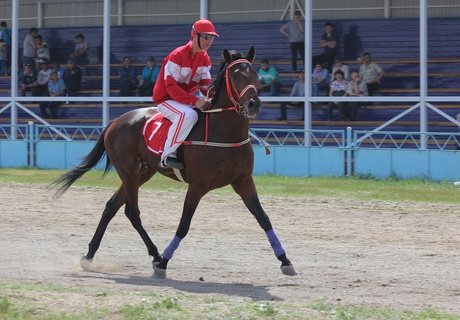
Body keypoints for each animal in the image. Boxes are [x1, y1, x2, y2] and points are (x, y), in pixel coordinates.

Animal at [52, 45, 296, 278]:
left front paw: (285, 260)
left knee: (112, 206)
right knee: (132, 212)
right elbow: (184, 225)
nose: (254, 104)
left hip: (142, 173)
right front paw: (164, 263)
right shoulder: (197, 186)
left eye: (255, 74)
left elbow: (263, 218)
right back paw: (155, 255)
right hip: (129, 172)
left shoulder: (243, 181)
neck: (223, 132)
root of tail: (116, 120)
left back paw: (90, 255)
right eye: (235, 76)